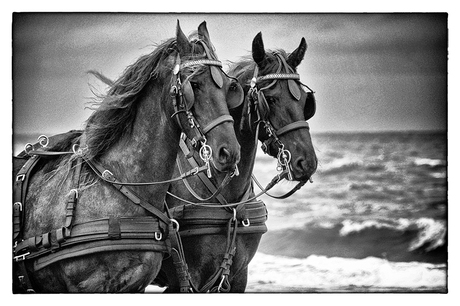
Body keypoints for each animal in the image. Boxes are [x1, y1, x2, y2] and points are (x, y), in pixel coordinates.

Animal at [11, 20, 241, 292]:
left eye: (229, 88)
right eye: (194, 84)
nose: (229, 152)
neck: (120, 186)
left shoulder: (136, 285)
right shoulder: (87, 287)